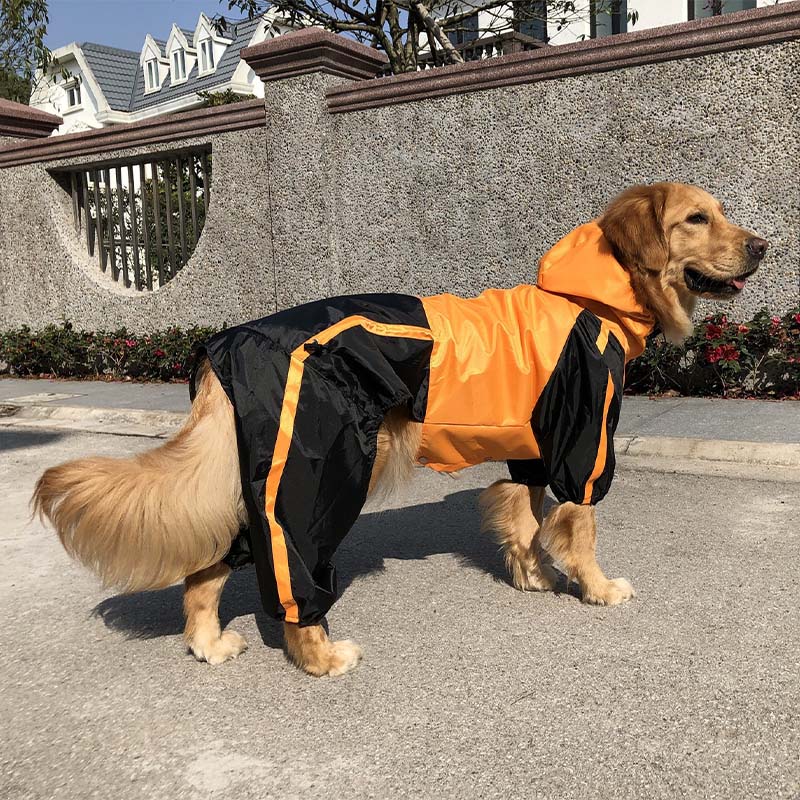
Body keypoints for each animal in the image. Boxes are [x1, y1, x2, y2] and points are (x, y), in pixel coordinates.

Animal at [32, 184, 768, 680]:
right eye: (697, 219)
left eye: (722, 212)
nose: (764, 246)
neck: (591, 300)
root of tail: (228, 342)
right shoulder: (579, 445)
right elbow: (576, 527)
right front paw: (595, 587)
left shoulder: (530, 453)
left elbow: (525, 522)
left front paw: (533, 577)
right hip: (317, 473)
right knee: (290, 577)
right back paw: (319, 654)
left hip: (252, 477)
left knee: (205, 570)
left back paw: (208, 643)